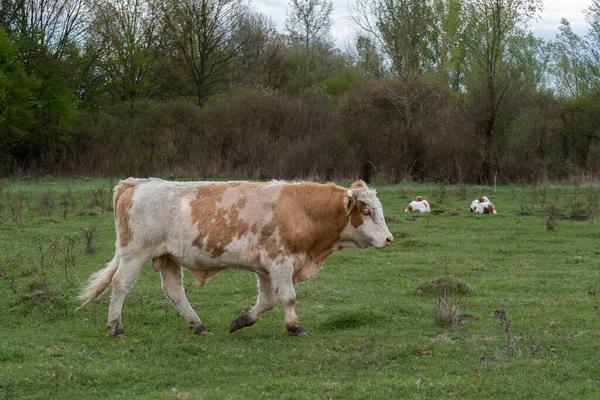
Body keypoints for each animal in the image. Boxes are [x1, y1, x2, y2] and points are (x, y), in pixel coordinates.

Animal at [76, 178, 394, 338]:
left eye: (378, 209)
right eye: (367, 212)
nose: (389, 238)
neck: (302, 209)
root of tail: (136, 183)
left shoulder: (266, 267)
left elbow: (267, 301)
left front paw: (241, 320)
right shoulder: (280, 261)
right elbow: (287, 297)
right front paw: (295, 326)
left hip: (167, 258)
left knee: (175, 292)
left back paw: (198, 326)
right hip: (134, 254)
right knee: (120, 285)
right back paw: (116, 327)